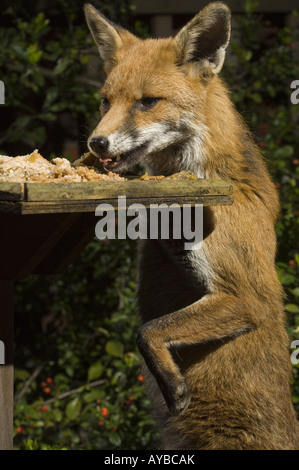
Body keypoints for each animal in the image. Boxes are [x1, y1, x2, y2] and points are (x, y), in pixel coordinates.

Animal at [84, 1, 299, 450]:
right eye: (104, 102)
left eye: (148, 102)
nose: (96, 143)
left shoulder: (249, 297)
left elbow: (147, 331)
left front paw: (173, 386)